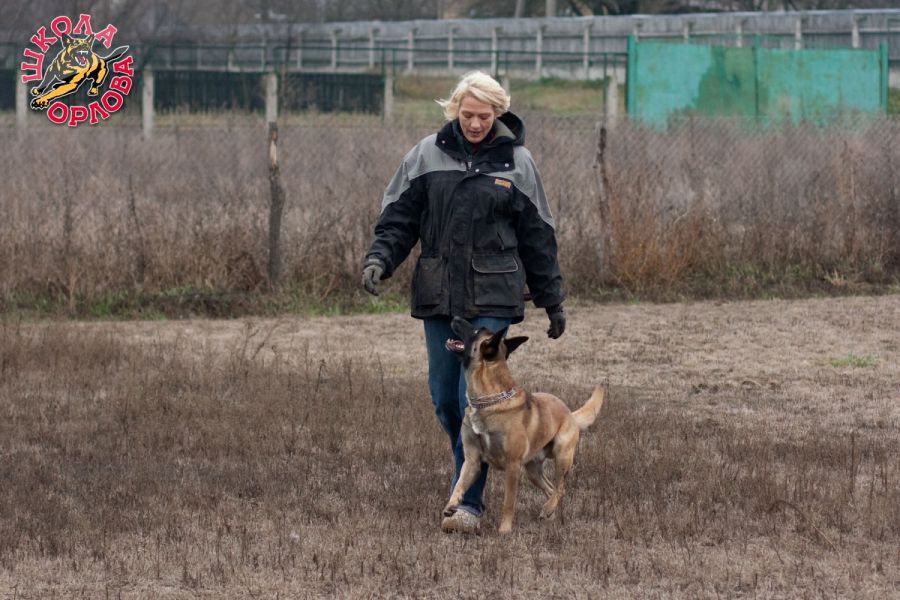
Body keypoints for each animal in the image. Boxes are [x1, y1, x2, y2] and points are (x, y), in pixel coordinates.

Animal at [443, 316, 604, 534]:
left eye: (476, 330)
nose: (455, 317)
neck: (488, 401)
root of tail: (570, 413)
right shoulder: (472, 461)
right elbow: (459, 484)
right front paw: (451, 506)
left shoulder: (512, 466)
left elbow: (508, 502)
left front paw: (504, 530)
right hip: (532, 471)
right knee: (551, 489)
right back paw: (549, 513)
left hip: (562, 455)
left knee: (561, 488)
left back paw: (549, 509)